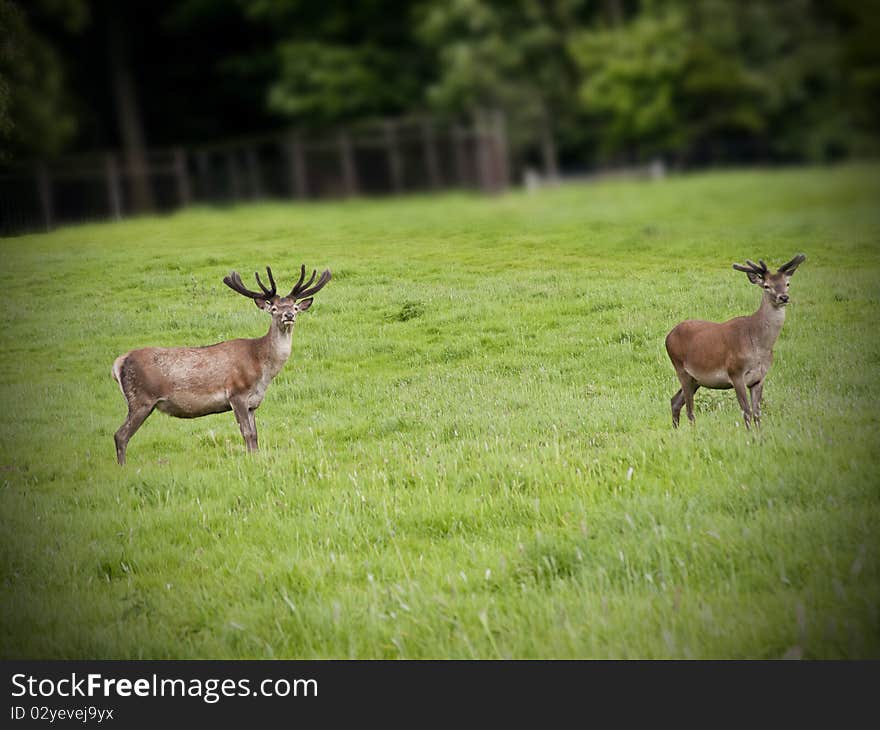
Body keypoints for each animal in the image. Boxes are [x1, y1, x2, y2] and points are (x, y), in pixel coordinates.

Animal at [110, 264, 330, 464]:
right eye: (274, 309)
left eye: (295, 307)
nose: (289, 315)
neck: (262, 367)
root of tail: (119, 363)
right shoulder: (236, 393)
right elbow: (247, 434)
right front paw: (251, 461)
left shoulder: (252, 403)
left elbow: (256, 435)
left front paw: (256, 458)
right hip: (141, 399)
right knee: (120, 435)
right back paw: (123, 468)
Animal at [668, 255, 804, 426]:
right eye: (767, 286)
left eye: (787, 283)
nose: (784, 297)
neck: (760, 347)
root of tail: (668, 336)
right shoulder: (736, 373)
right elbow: (746, 412)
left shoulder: (759, 378)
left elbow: (757, 413)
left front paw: (760, 433)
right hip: (681, 368)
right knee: (690, 410)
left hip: (696, 379)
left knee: (675, 401)